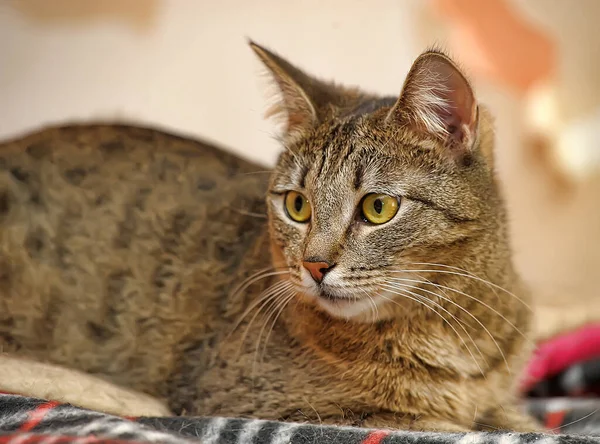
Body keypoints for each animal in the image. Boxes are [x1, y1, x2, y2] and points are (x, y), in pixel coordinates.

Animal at [0, 41, 540, 430]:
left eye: (378, 207)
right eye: (297, 205)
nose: (314, 265)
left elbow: (511, 418)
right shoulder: (259, 401)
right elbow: (442, 423)